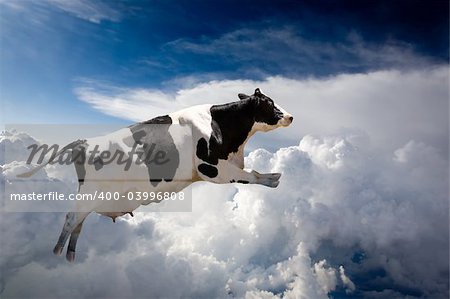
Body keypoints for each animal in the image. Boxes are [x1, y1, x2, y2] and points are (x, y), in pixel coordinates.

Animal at [17, 88, 294, 262]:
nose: (291, 116)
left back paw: (71, 256)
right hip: (90, 193)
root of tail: (84, 141)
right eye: (269, 103)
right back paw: (56, 252)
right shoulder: (212, 169)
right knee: (71, 218)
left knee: (79, 222)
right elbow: (252, 175)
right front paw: (275, 178)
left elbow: (251, 172)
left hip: (91, 196)